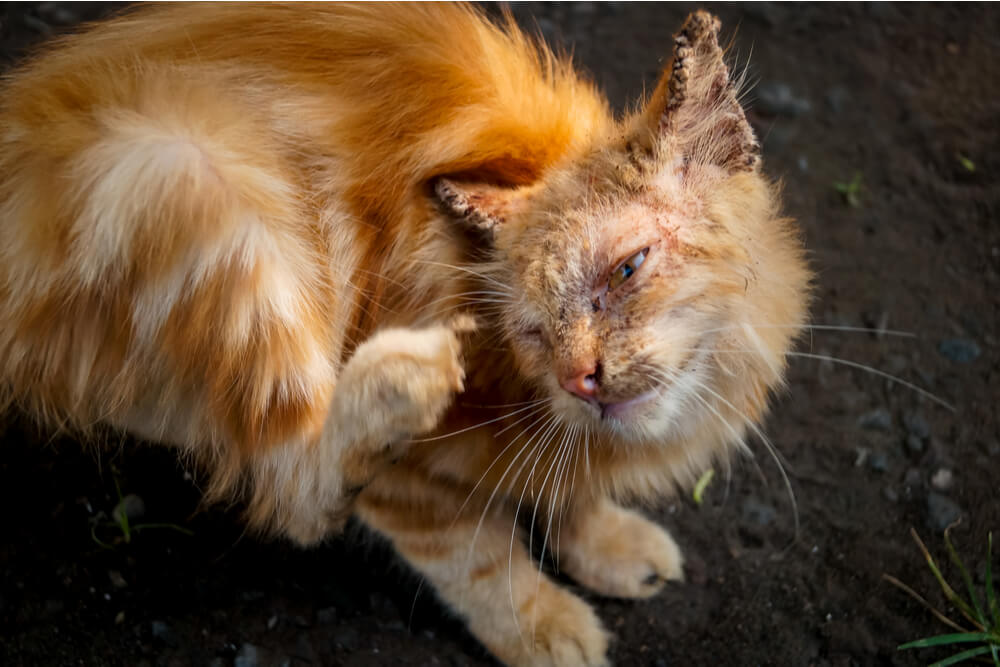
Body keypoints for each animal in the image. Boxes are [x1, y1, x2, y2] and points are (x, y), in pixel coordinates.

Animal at [0, 6, 808, 667]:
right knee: (298, 485)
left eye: (629, 267)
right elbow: (479, 560)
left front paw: (605, 542)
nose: (580, 377)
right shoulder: (415, 488)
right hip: (176, 170)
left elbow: (567, 488)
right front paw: (543, 625)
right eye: (534, 330)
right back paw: (401, 376)